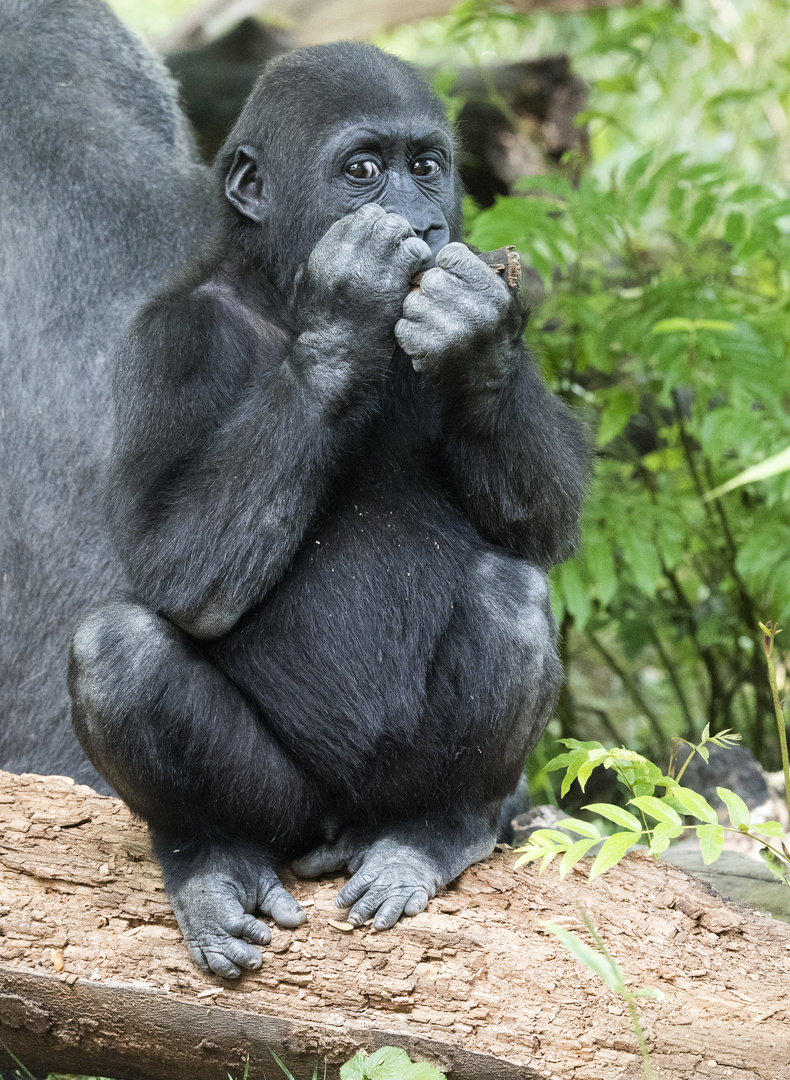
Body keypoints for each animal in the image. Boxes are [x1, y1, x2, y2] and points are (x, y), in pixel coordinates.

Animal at [69, 42, 587, 976]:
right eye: (363, 171)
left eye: (427, 166)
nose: (421, 224)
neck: (277, 293)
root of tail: (341, 832)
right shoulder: (166, 341)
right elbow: (175, 568)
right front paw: (349, 304)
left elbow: (542, 522)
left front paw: (476, 334)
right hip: (292, 811)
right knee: (117, 648)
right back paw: (211, 858)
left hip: (390, 795)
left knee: (510, 593)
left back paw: (438, 830)